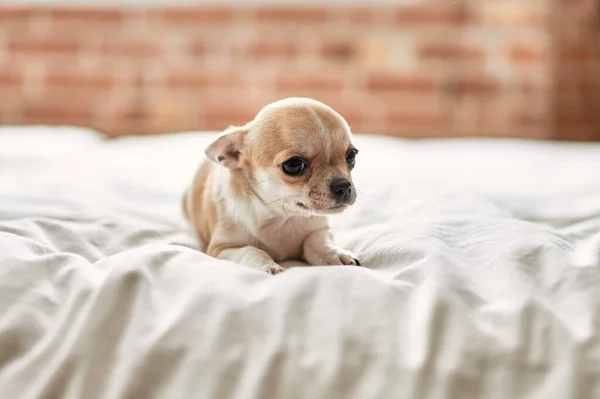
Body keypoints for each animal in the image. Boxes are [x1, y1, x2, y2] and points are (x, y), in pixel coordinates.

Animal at [183, 97, 358, 276]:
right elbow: (251, 250)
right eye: (294, 165)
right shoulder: (221, 248)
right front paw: (267, 265)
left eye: (351, 156)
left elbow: (315, 241)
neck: (281, 217)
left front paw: (334, 253)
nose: (343, 185)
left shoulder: (321, 229)